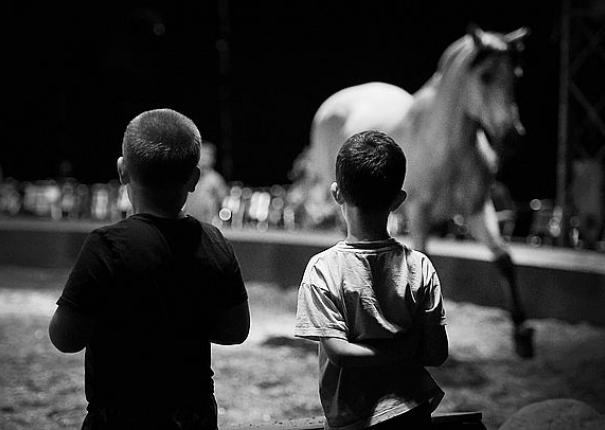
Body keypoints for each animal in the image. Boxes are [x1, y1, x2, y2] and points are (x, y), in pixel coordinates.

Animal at [294, 26, 532, 356]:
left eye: (516, 75)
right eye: (485, 76)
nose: (512, 138)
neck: (448, 143)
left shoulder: (476, 209)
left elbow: (505, 260)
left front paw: (522, 335)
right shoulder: (421, 210)